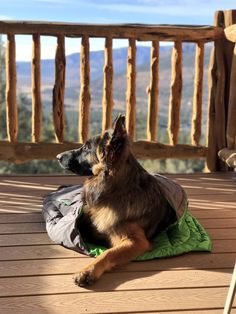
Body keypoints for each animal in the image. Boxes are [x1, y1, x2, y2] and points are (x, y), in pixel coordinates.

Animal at [56, 114, 177, 288]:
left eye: (86, 148)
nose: (58, 157)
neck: (116, 191)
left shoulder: (136, 241)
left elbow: (108, 253)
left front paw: (88, 271)